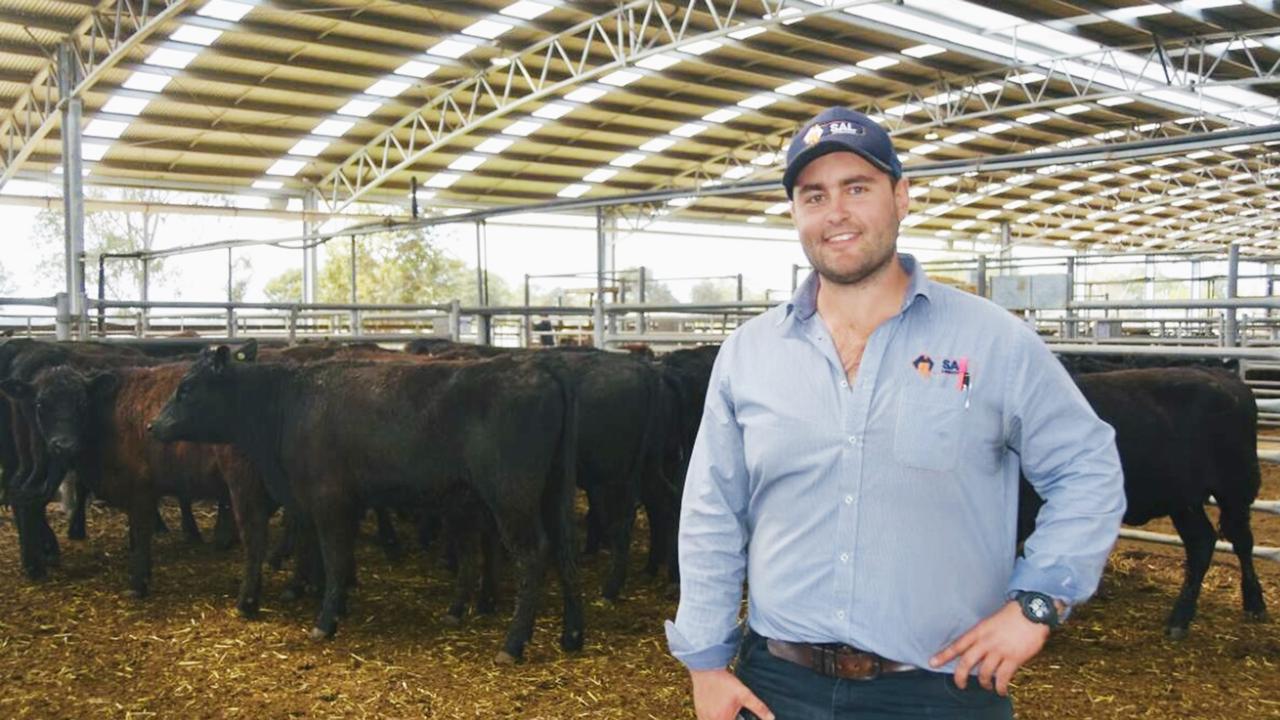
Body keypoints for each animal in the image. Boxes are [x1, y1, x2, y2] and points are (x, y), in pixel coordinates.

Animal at [151, 345, 586, 661]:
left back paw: (513, 644)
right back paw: (572, 635)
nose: (153, 425)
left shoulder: (328, 499)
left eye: (187, 387)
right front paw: (339, 605)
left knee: (534, 554)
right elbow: (337, 558)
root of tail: (540, 368)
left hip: (511, 495)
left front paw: (325, 621)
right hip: (549, 492)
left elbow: (334, 556)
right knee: (564, 552)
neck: (286, 406)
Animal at [1018, 366, 1269, 635]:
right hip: (1183, 499)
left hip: (1234, 489)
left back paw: (1254, 604)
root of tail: (1224, 376)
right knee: (1202, 542)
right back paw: (1181, 618)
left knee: (1241, 541)